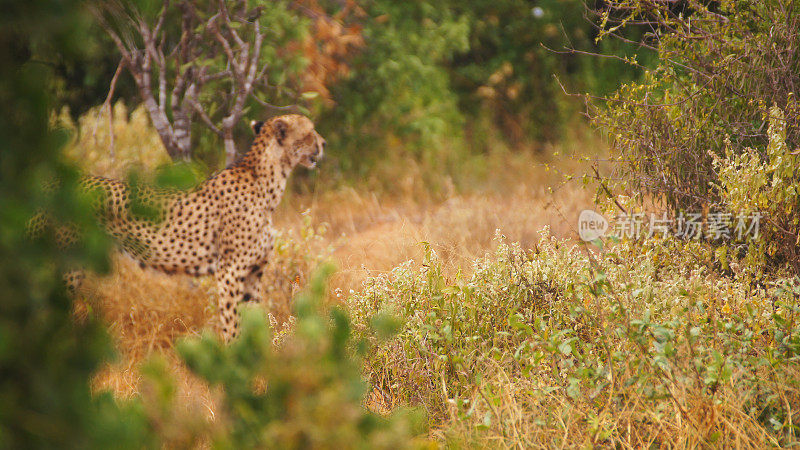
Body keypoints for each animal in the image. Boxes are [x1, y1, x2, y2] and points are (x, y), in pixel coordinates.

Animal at [61, 114, 324, 340]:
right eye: (310, 131)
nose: (324, 143)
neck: (268, 184)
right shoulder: (230, 271)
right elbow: (233, 324)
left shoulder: (253, 272)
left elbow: (255, 321)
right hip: (67, 267)